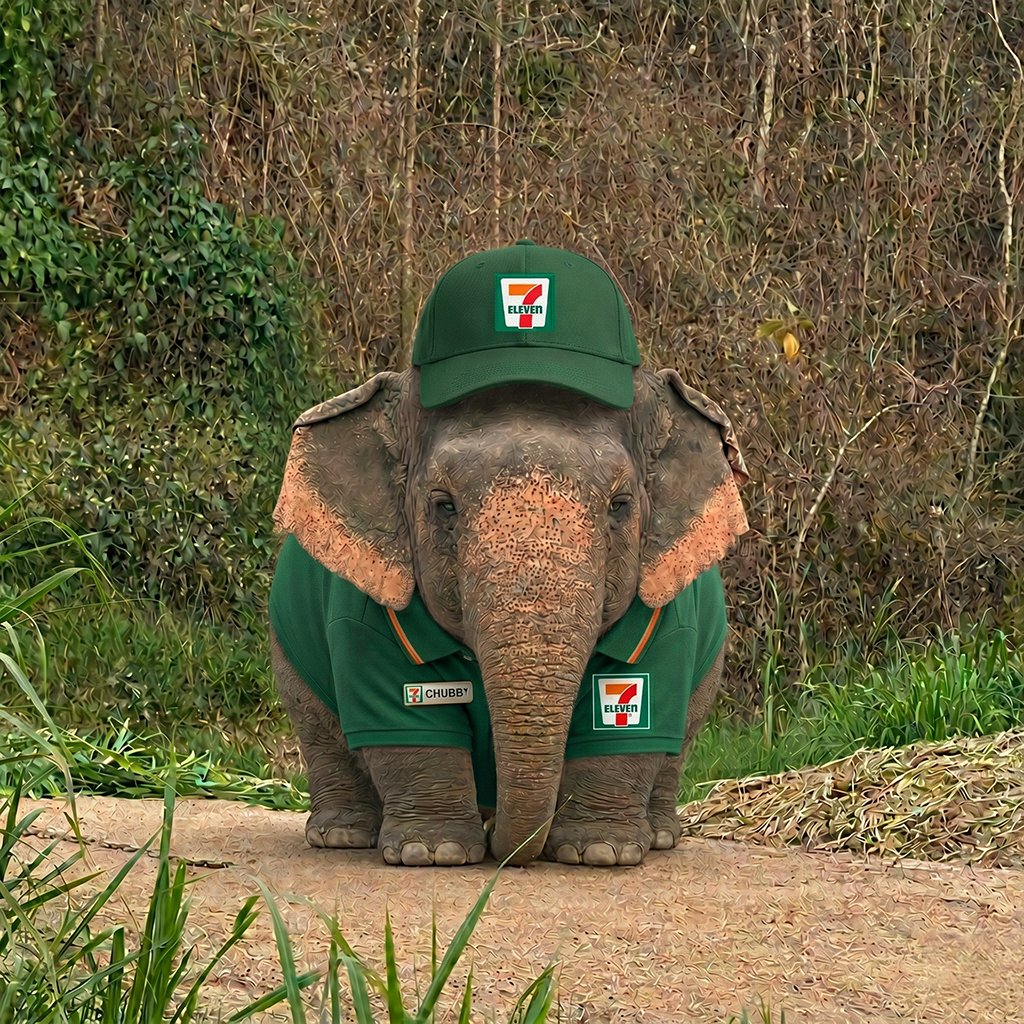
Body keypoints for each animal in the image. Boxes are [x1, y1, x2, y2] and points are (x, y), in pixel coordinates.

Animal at [269, 367, 748, 867]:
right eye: (444, 505)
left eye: (619, 505)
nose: (504, 847)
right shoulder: (364, 609)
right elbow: (403, 721)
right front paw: (432, 850)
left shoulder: (665, 612)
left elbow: (633, 718)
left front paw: (600, 851)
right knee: (319, 727)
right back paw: (342, 835)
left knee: (678, 742)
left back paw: (660, 836)